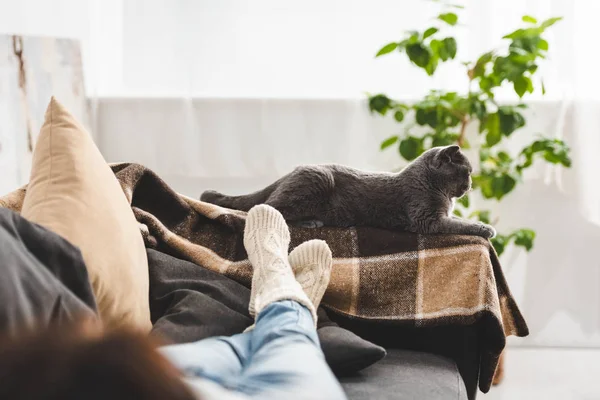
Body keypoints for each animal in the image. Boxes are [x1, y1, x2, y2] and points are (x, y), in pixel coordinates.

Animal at [202, 145, 496, 238]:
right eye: (467, 172)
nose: (469, 185)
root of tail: (292, 171)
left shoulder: (439, 215)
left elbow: (458, 220)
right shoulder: (428, 219)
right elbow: (461, 224)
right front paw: (486, 229)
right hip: (318, 180)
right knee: (265, 207)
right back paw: (311, 221)